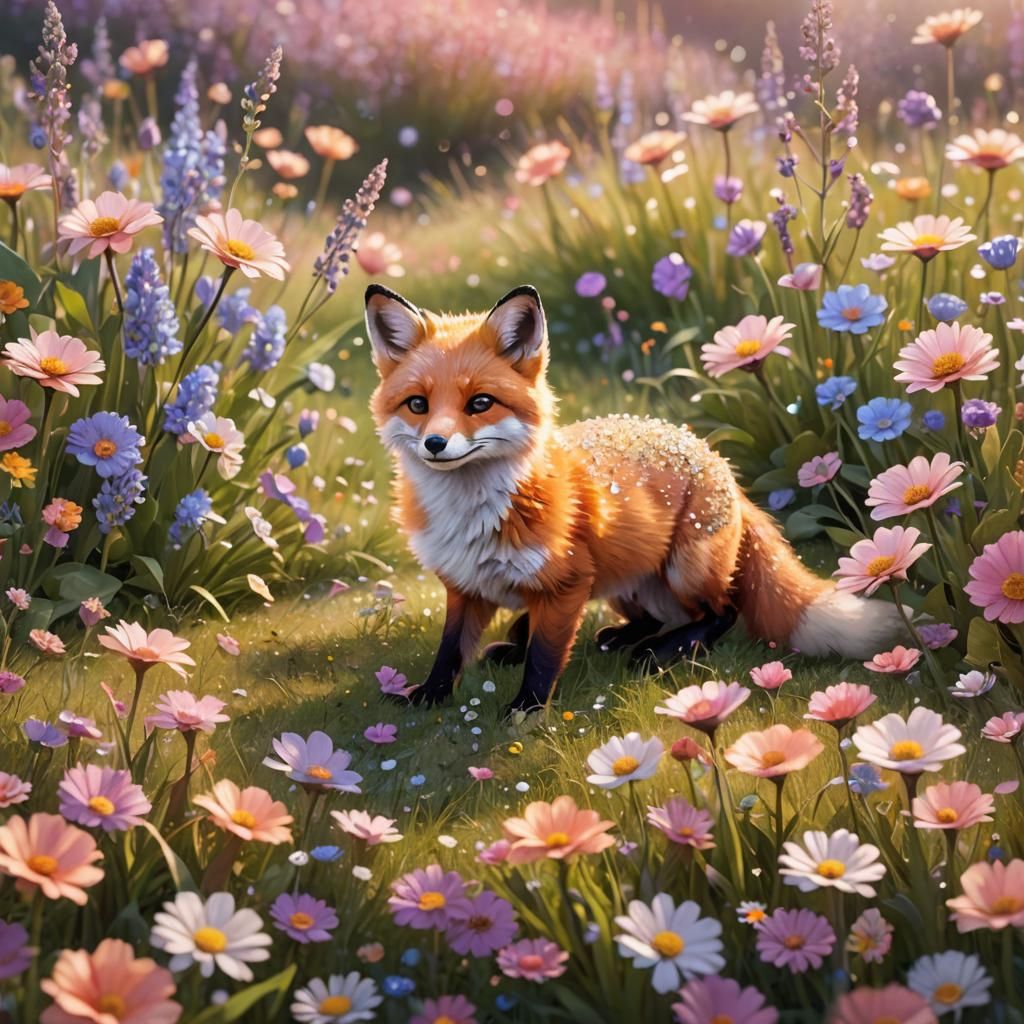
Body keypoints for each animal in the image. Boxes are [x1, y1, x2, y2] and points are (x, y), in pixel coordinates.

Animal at [366, 283, 906, 714]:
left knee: (721, 613)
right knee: (650, 616)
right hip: (621, 577)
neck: (474, 515)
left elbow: (544, 655)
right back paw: (615, 640)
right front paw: (429, 696)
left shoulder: (567, 585)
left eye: (480, 403)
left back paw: (660, 652)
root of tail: (715, 459)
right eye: (418, 405)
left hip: (685, 568)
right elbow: (451, 649)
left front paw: (526, 710)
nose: (436, 444)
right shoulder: (465, 586)